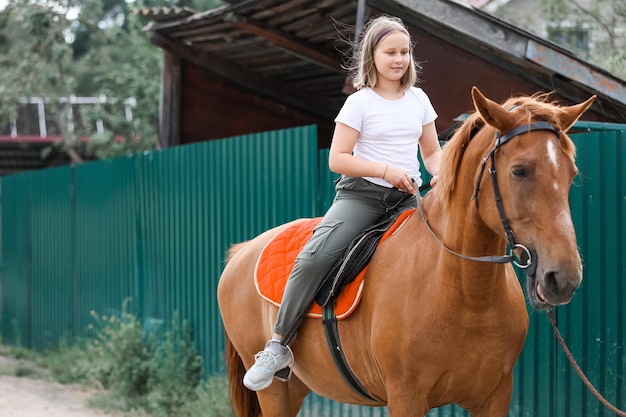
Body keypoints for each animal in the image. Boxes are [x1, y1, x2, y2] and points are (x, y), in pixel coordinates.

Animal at [218, 86, 596, 414]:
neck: (464, 292)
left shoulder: (495, 397)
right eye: (519, 170)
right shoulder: (406, 396)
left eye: (571, 172)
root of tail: (242, 252)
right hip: (273, 391)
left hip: (295, 387)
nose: (563, 278)